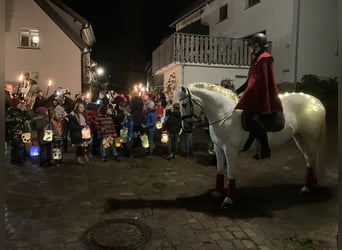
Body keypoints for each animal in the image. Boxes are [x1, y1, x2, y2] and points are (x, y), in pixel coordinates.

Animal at [176, 82, 326, 207]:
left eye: (184, 105)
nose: (186, 127)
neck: (225, 115)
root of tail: (317, 102)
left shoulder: (230, 150)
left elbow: (231, 173)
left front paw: (229, 199)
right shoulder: (218, 148)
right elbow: (219, 170)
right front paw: (218, 192)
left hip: (309, 137)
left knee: (311, 158)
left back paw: (306, 188)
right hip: (300, 138)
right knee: (310, 159)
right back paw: (311, 183)